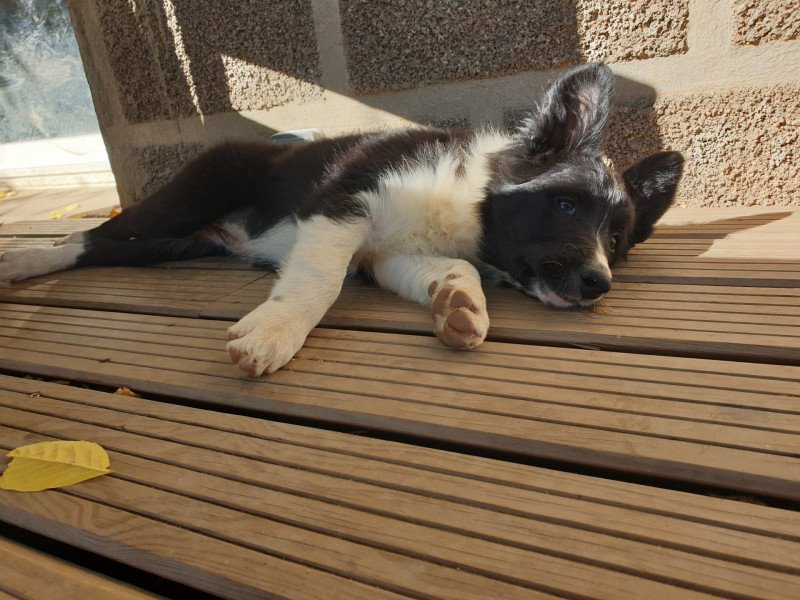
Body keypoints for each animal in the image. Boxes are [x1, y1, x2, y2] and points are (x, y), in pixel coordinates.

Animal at [3, 64, 684, 376]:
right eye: (566, 205)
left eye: (615, 240)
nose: (599, 283)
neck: (466, 200)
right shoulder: (341, 202)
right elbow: (318, 281)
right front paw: (273, 334)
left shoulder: (390, 257)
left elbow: (447, 267)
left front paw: (459, 303)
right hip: (191, 195)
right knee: (90, 235)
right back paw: (24, 259)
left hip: (174, 245)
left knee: (107, 249)